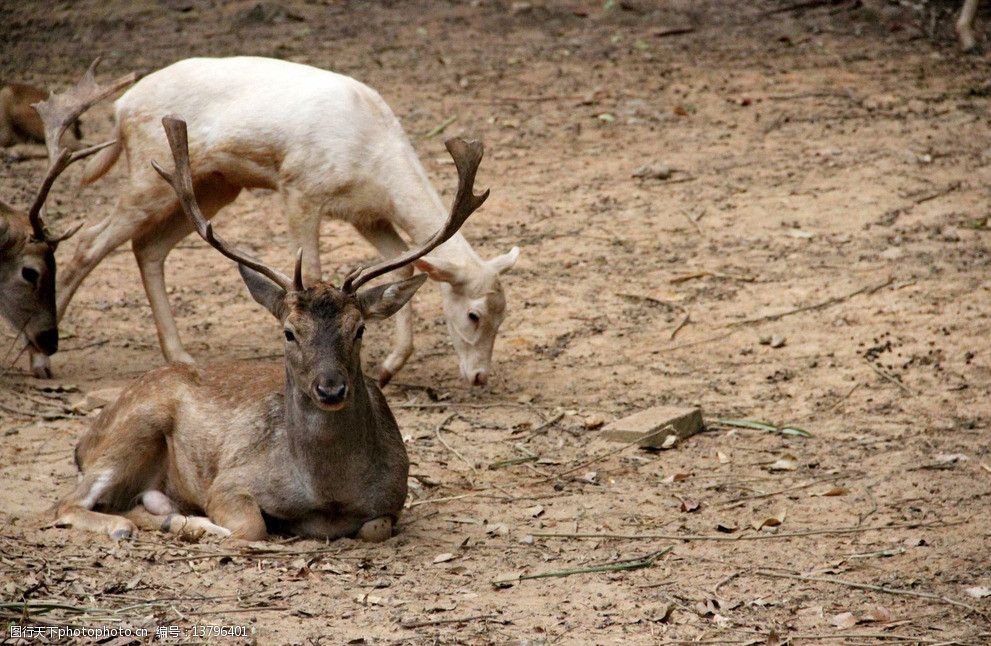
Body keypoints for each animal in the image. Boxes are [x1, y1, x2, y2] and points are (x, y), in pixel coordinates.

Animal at [45, 57, 524, 384]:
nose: (480, 377)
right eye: (474, 315)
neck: (372, 161)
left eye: (505, 315)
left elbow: (402, 267)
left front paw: (388, 368)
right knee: (89, 241)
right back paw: (44, 357)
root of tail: (121, 107)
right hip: (150, 175)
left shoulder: (367, 216)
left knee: (147, 246)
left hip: (212, 186)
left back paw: (180, 357)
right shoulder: (300, 188)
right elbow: (311, 270)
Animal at [53, 115, 488, 540]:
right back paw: (143, 525)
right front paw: (207, 525)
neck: (330, 494)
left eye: (359, 329)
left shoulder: (393, 497)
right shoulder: (229, 481)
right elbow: (251, 526)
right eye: (289, 332)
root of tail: (83, 441)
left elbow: (374, 528)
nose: (330, 389)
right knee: (67, 504)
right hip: (133, 427)